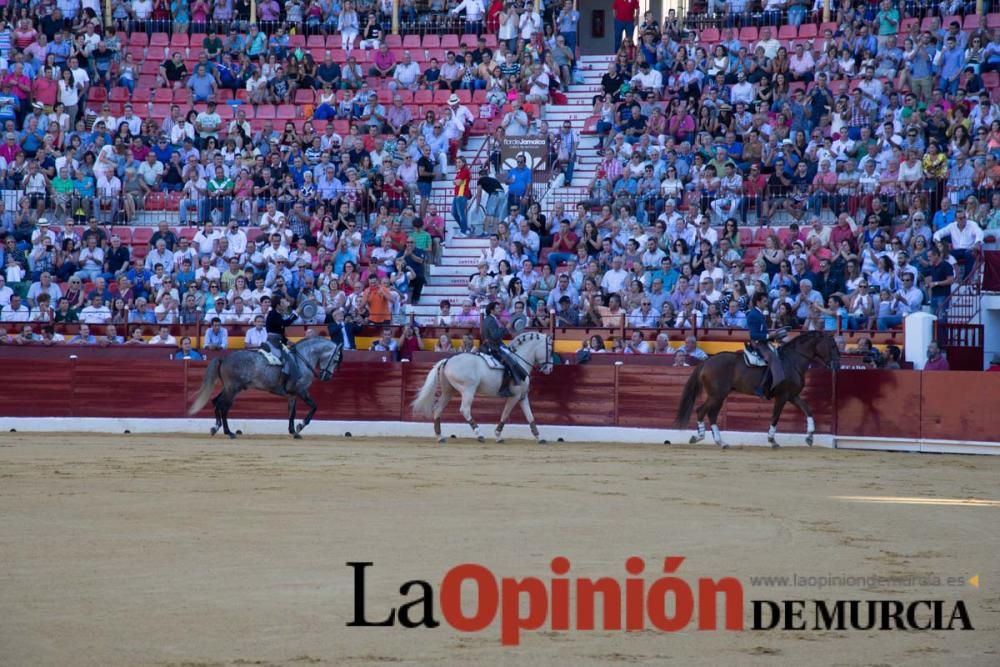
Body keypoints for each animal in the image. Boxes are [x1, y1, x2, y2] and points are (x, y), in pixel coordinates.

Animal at [188, 340, 344, 438]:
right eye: (336, 360)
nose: (326, 377)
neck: (302, 359)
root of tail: (224, 357)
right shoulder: (301, 390)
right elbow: (314, 406)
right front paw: (300, 426)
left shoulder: (292, 395)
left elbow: (292, 413)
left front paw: (293, 431)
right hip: (233, 388)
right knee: (224, 406)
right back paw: (229, 432)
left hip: (229, 387)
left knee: (216, 402)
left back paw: (216, 428)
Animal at [412, 332, 560, 444]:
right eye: (550, 349)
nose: (550, 369)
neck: (520, 360)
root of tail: (447, 361)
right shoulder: (515, 396)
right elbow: (505, 414)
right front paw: (498, 435)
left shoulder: (523, 397)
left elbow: (530, 416)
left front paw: (539, 437)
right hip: (468, 390)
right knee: (465, 409)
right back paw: (479, 434)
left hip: (449, 391)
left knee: (438, 409)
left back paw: (440, 437)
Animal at [676, 332, 840, 448]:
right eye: (832, 345)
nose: (837, 366)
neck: (792, 361)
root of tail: (707, 361)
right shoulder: (782, 396)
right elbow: (775, 417)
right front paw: (772, 440)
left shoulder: (792, 395)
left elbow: (808, 410)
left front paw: (810, 436)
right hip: (716, 395)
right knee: (701, 411)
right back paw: (699, 437)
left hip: (719, 396)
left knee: (712, 414)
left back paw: (720, 442)